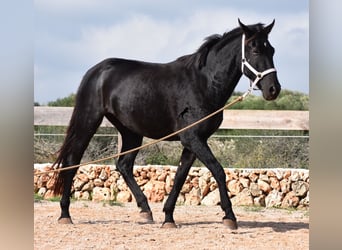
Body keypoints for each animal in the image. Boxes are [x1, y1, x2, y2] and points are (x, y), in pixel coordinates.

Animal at [52, 20, 280, 230]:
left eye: (272, 49)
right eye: (255, 49)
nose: (273, 89)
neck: (203, 83)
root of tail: (96, 70)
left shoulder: (194, 141)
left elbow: (180, 176)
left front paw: (168, 217)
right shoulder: (193, 139)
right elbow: (218, 170)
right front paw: (230, 217)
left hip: (131, 131)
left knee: (123, 165)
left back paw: (145, 210)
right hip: (88, 121)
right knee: (72, 161)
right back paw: (65, 214)